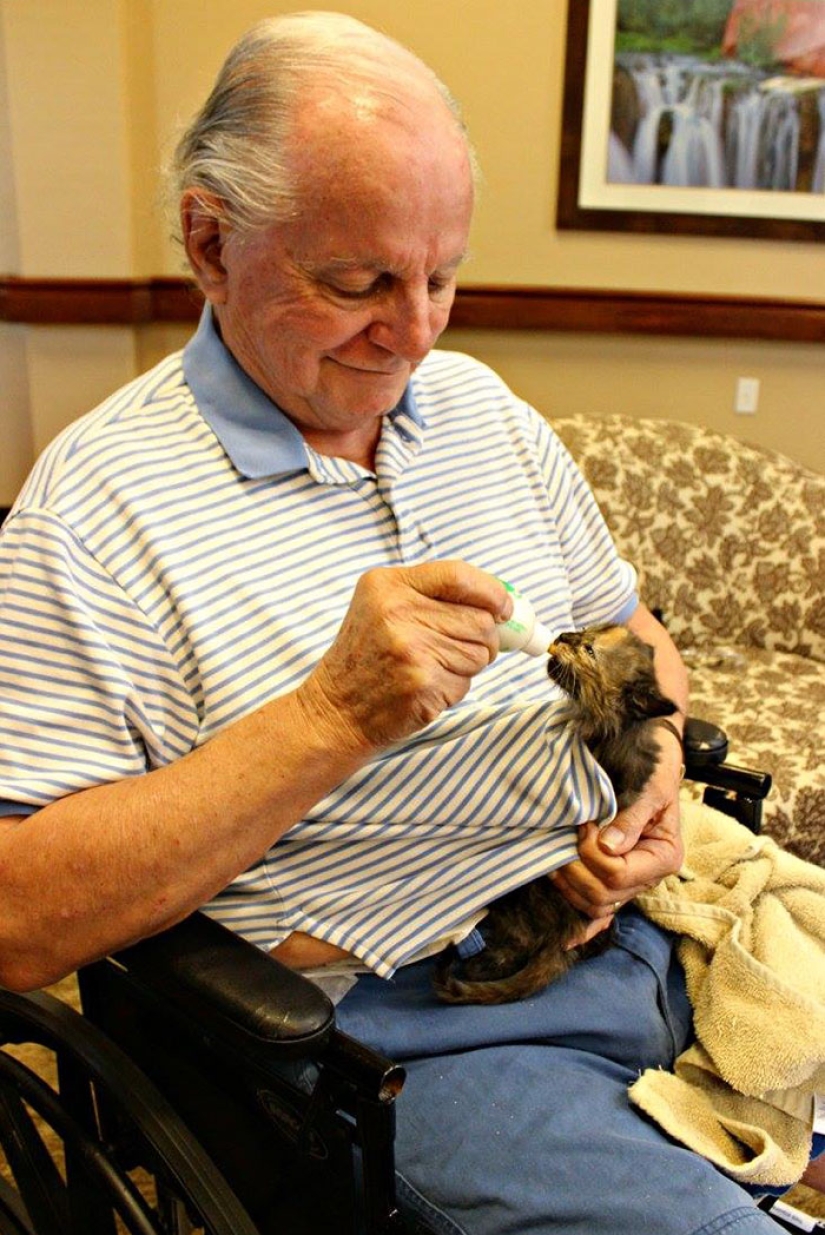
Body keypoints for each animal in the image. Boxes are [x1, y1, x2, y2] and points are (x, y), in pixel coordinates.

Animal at [432, 627, 676, 1002]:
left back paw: (480, 964)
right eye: (587, 630)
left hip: (515, 896)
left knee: (517, 944)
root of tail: (563, 936)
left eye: (589, 650)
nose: (563, 635)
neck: (622, 731)